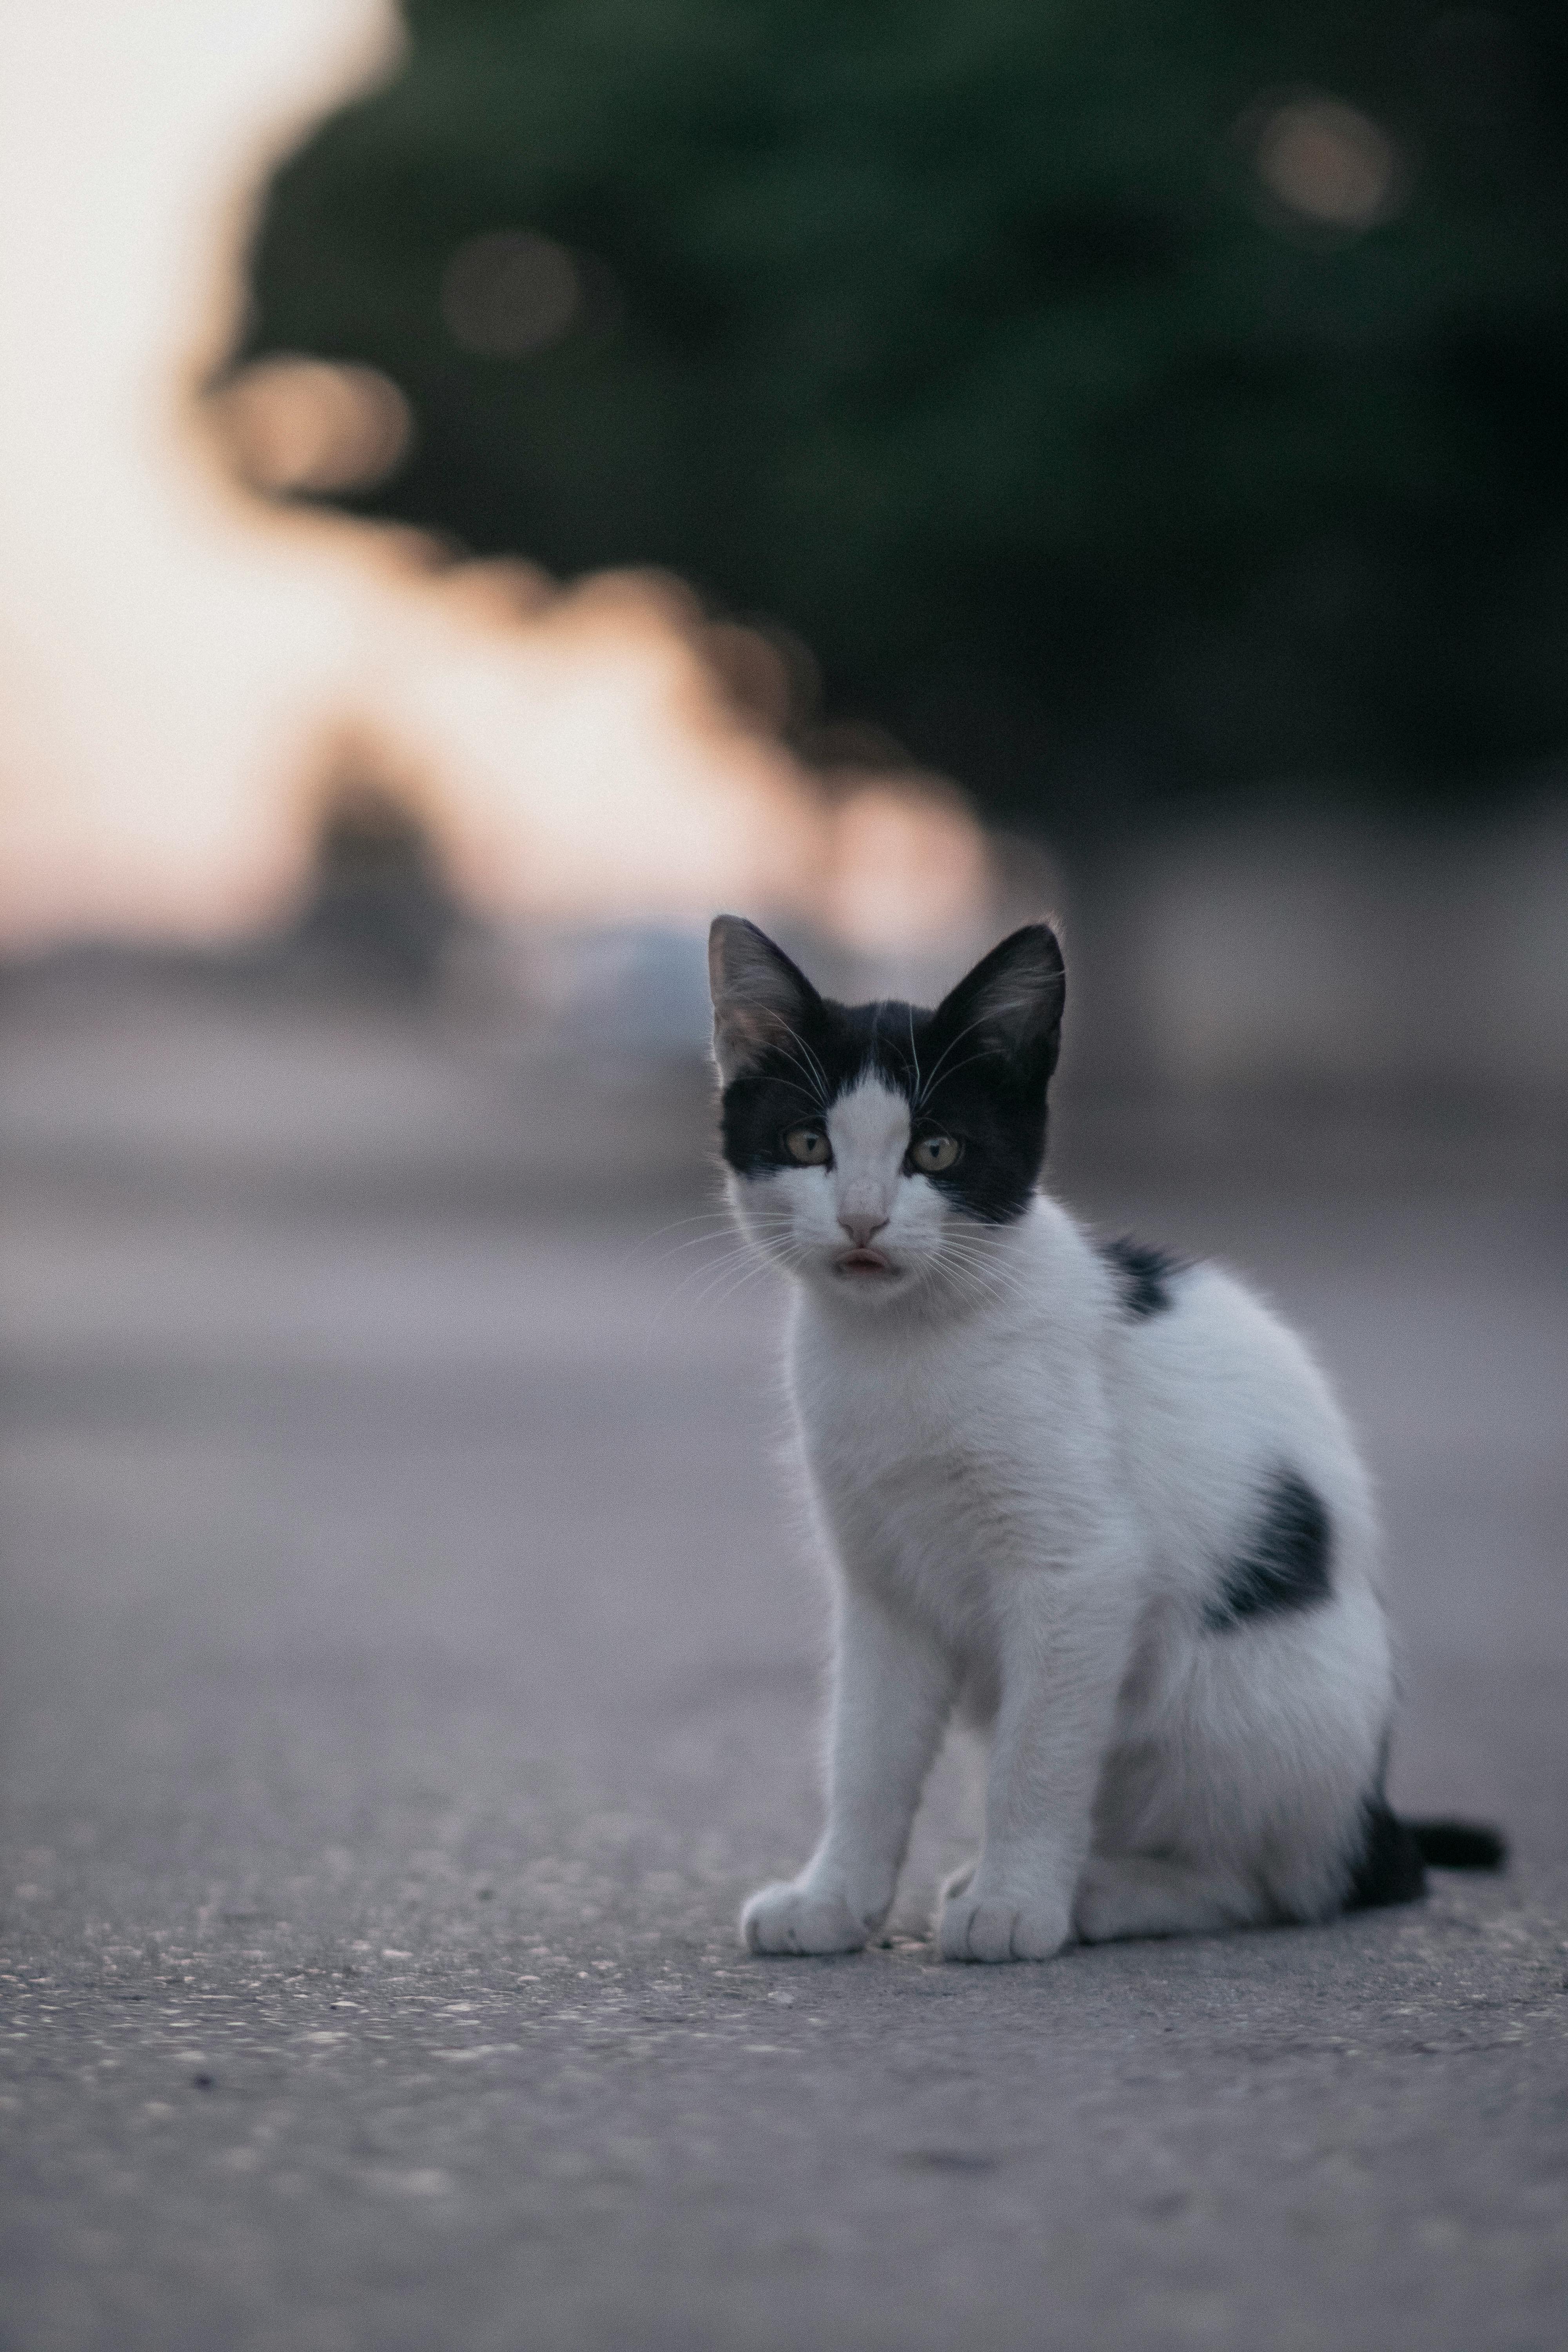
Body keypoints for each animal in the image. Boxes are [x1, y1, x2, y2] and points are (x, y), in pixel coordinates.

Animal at [705, 908, 1504, 1957]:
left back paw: (1102, 1893)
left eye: (936, 1152)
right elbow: (865, 1754)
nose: (863, 1222)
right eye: (806, 1143)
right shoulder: (882, 1585)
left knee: (1275, 1882)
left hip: (1246, 1697)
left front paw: (1012, 1907)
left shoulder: (1079, 1572)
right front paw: (833, 1898)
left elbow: (1035, 1759)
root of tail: (1374, 1820)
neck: (901, 1345)